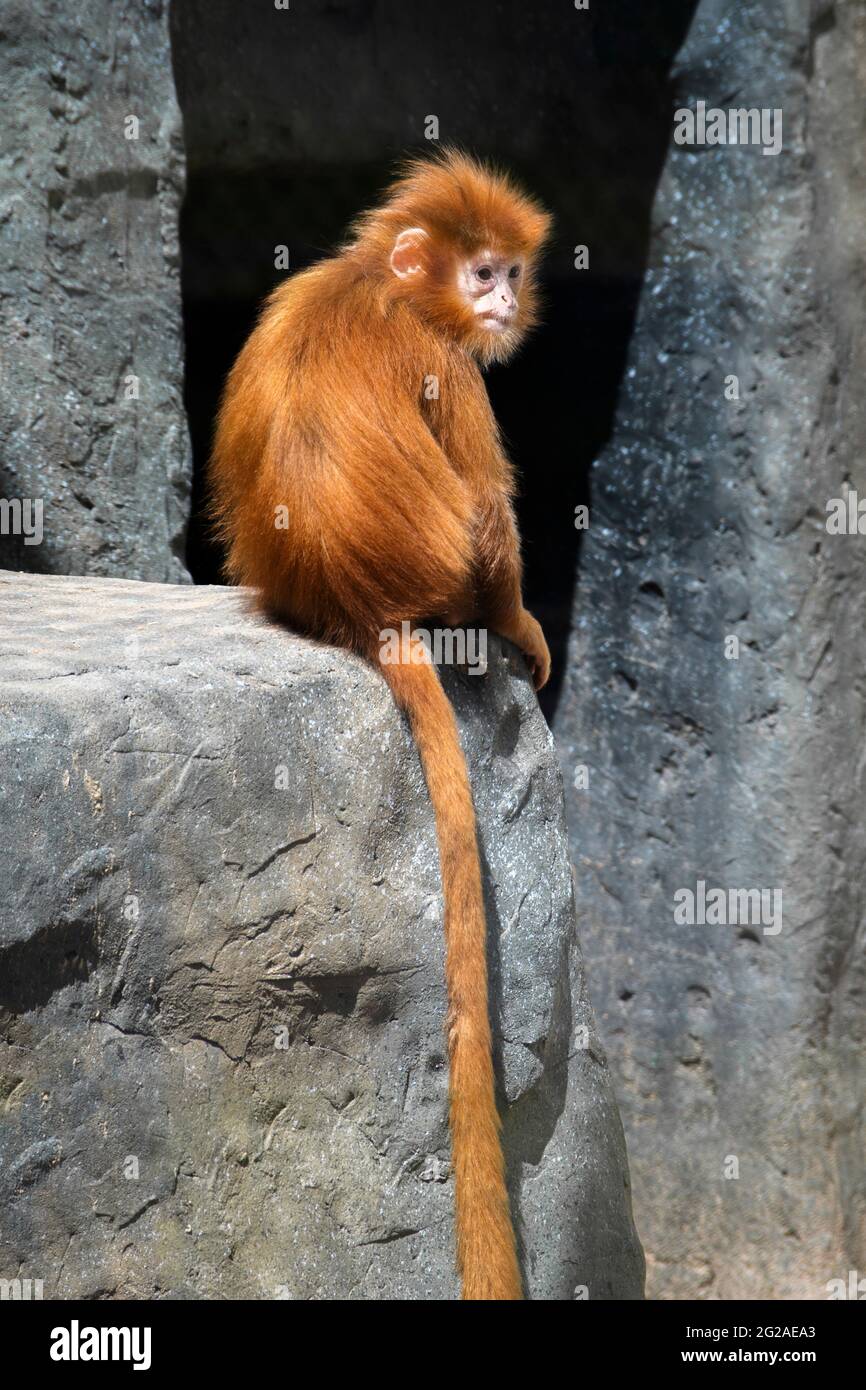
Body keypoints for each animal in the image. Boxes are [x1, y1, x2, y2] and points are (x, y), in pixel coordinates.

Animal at [210, 149, 551, 1300]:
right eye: (480, 272)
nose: (501, 302)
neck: (380, 285)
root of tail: (361, 610)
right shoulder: (445, 358)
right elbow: (490, 505)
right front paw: (523, 624)